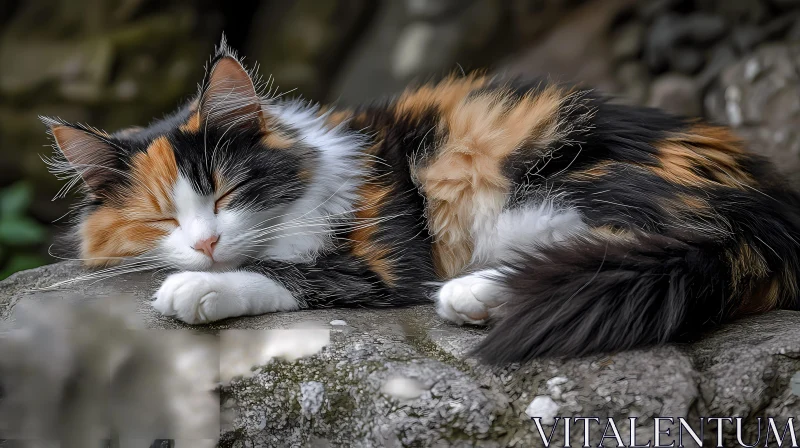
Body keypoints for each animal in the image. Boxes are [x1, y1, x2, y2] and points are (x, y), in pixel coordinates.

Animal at [40, 36, 800, 362]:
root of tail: (765, 208)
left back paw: (473, 295)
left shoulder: (385, 254)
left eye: (226, 190)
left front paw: (197, 288)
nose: (204, 242)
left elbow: (292, 272)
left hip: (555, 189)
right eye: (159, 217)